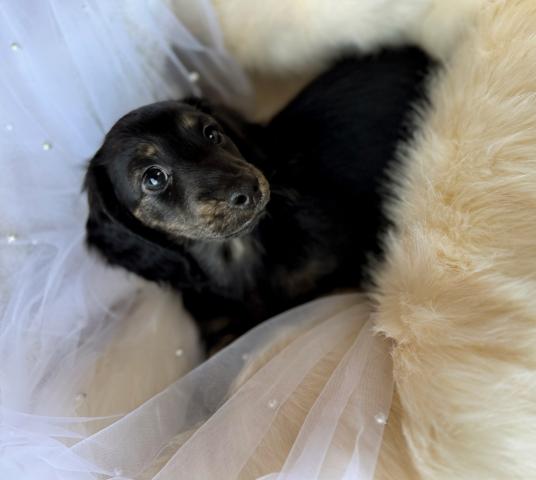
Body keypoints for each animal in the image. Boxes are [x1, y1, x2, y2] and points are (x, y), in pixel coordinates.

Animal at [85, 47, 432, 350]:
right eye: (153, 178)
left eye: (212, 133)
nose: (249, 189)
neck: (238, 254)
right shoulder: (220, 332)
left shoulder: (342, 270)